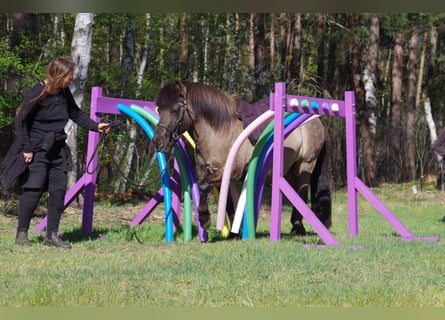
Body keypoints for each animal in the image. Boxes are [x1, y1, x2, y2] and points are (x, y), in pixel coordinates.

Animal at [153, 80, 330, 238]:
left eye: (175, 110)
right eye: (159, 110)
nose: (157, 142)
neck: (220, 131)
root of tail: (316, 121)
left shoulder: (232, 171)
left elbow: (203, 187)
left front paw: (204, 219)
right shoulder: (215, 174)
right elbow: (227, 202)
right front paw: (234, 233)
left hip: (305, 166)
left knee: (302, 193)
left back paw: (298, 228)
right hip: (289, 171)